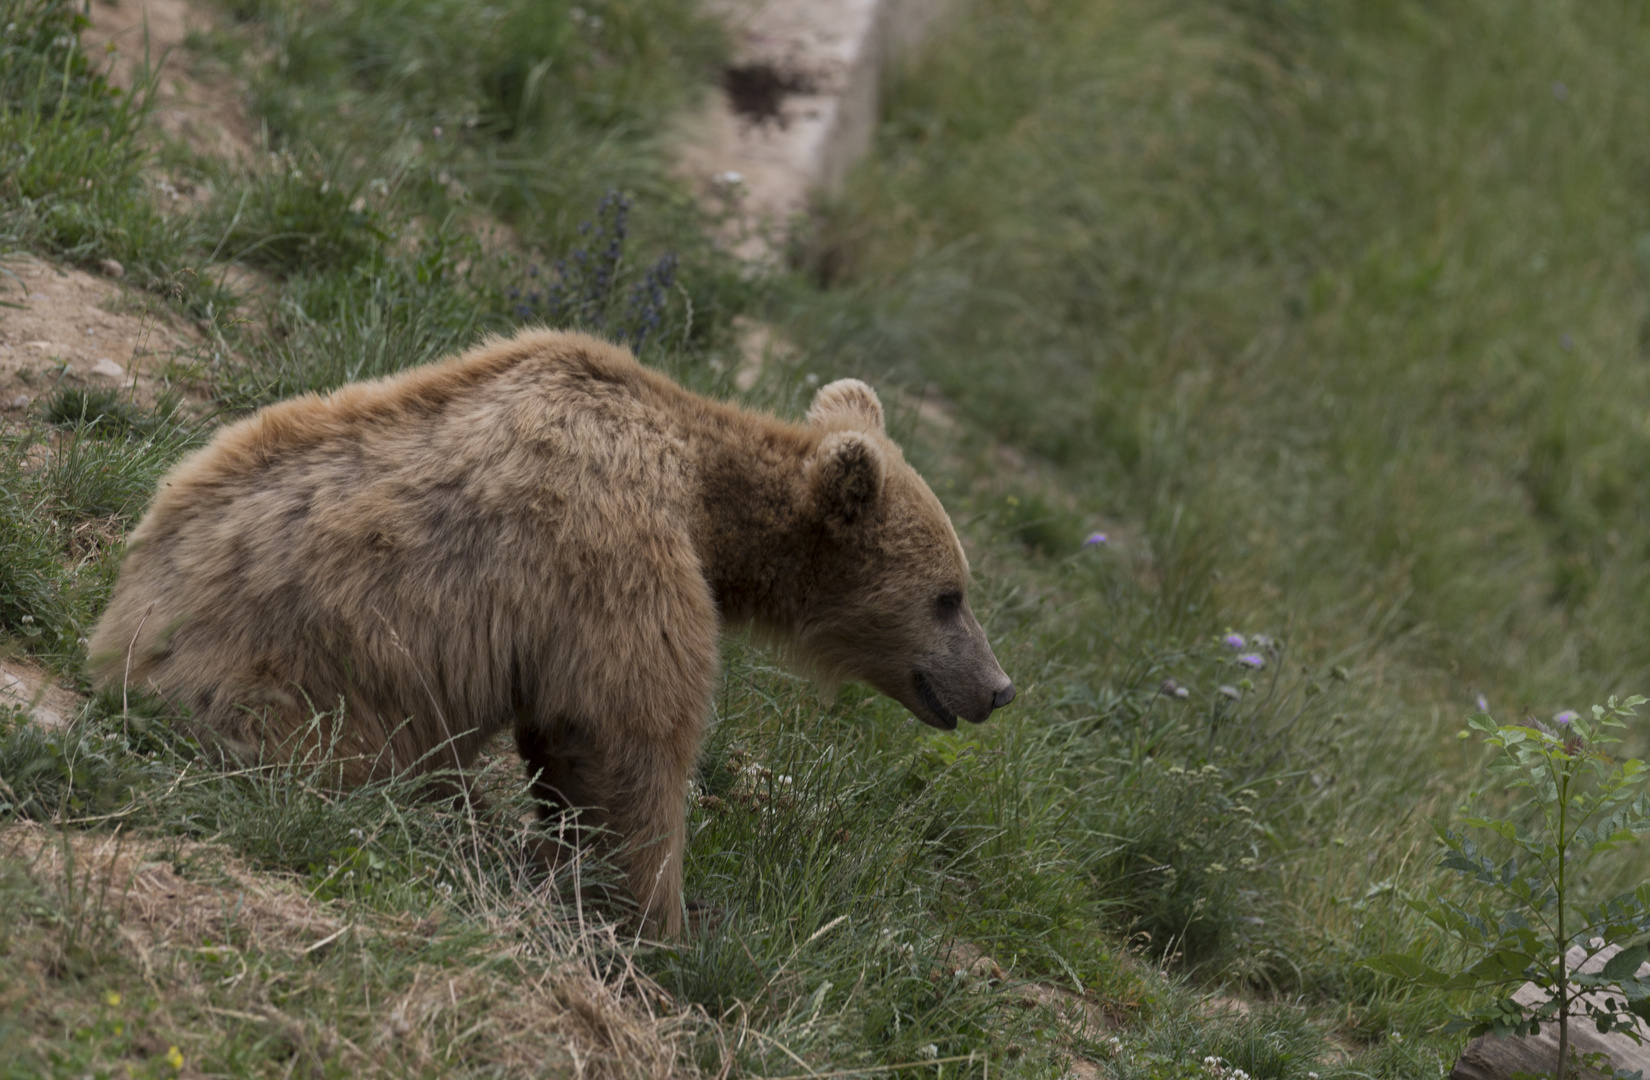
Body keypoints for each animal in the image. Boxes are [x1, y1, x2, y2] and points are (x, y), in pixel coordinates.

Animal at [93, 329, 1016, 936]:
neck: (706, 503)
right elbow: (629, 733)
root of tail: (124, 648)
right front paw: (666, 918)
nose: (998, 688)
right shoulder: (618, 558)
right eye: (949, 596)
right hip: (308, 694)